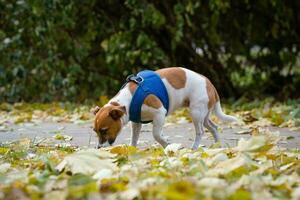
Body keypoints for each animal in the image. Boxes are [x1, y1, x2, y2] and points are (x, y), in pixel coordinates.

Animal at [92, 66, 238, 149]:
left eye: (104, 130)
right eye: (95, 131)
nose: (99, 147)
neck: (129, 98)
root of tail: (209, 83)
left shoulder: (159, 113)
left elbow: (156, 135)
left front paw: (167, 145)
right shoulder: (137, 122)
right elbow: (134, 138)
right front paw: (132, 149)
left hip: (196, 113)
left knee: (200, 131)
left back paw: (195, 147)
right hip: (204, 115)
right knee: (214, 127)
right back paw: (218, 144)